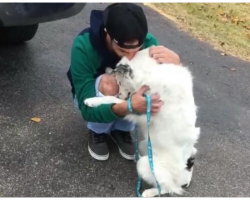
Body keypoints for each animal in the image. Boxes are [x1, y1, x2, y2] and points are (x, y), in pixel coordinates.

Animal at [85, 48, 200, 197]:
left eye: (120, 83)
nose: (120, 94)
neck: (151, 70)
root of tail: (186, 179)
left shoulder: (141, 111)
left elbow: (114, 100)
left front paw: (92, 100)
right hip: (144, 144)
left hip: (146, 165)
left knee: (167, 188)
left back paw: (149, 192)